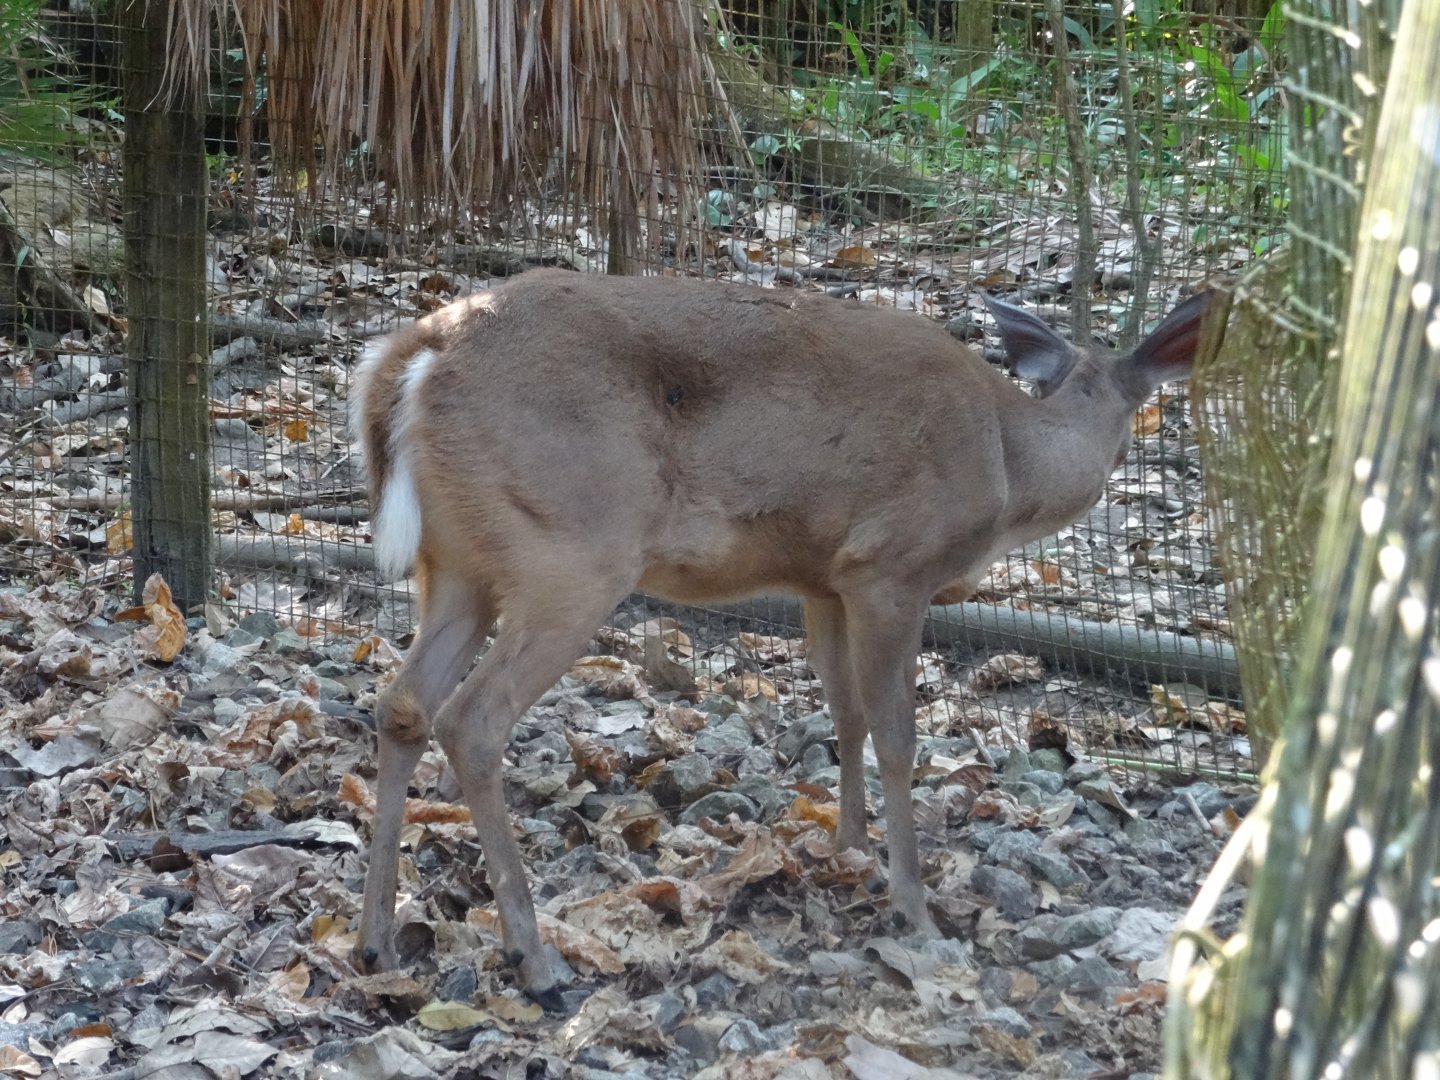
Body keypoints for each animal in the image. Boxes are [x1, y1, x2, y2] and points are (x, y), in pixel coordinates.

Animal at [349, 269, 1214, 1009]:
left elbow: (845, 714)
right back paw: (534, 959)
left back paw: (376, 943)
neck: (1008, 462)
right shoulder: (891, 566)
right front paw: (912, 904)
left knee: (401, 705)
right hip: (572, 546)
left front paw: (852, 849)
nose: (1125, 463)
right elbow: (896, 733)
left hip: (458, 562)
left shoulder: (823, 579)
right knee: (473, 719)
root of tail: (415, 357)